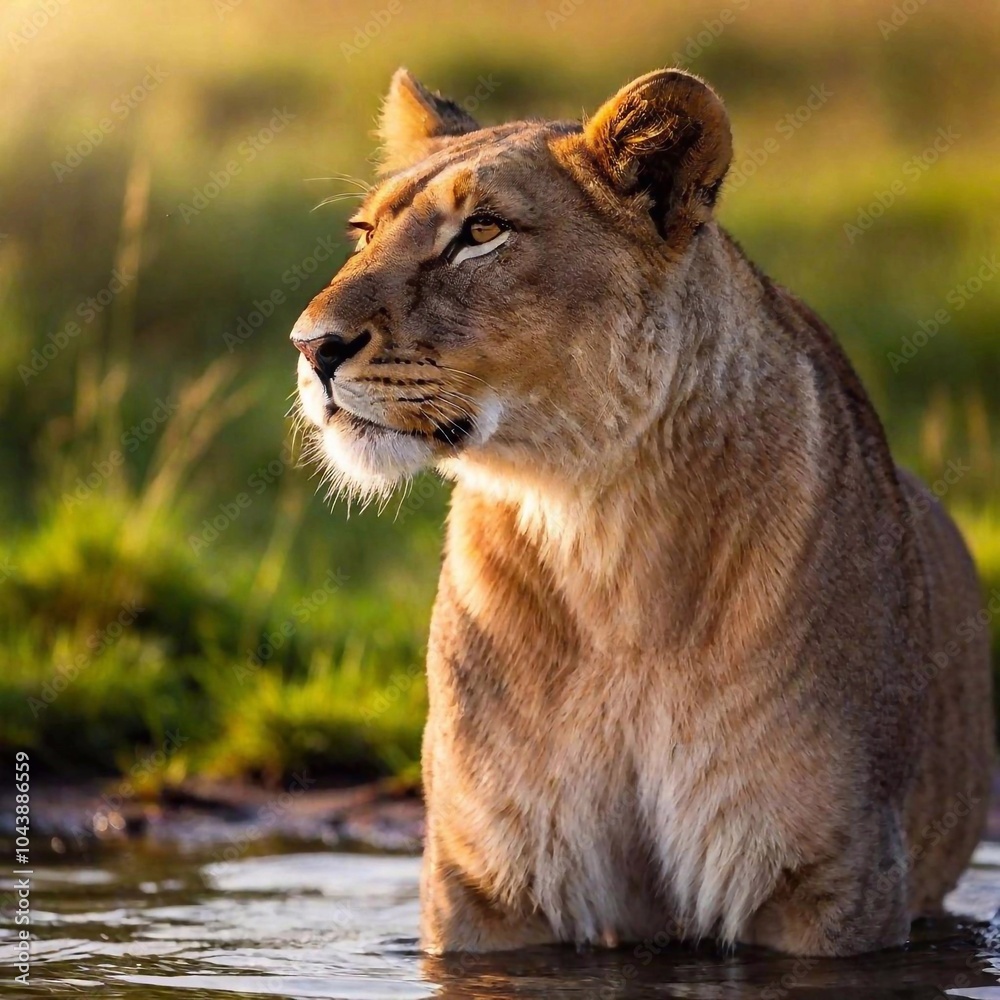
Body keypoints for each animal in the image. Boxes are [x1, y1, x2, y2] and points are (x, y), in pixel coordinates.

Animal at [291, 68, 994, 956]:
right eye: (363, 231)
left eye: (482, 231)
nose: (310, 346)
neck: (601, 535)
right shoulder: (487, 879)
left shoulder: (827, 879)